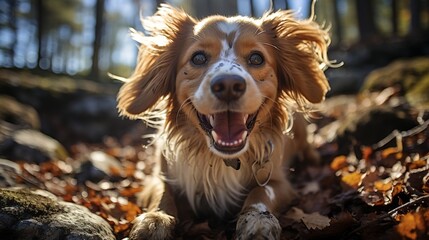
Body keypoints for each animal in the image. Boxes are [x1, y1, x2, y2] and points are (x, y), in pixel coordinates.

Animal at [116, 3, 334, 240]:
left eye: (256, 58)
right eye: (198, 58)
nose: (229, 85)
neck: (220, 159)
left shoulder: (279, 182)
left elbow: (261, 192)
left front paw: (258, 219)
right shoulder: (158, 175)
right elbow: (162, 192)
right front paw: (154, 219)